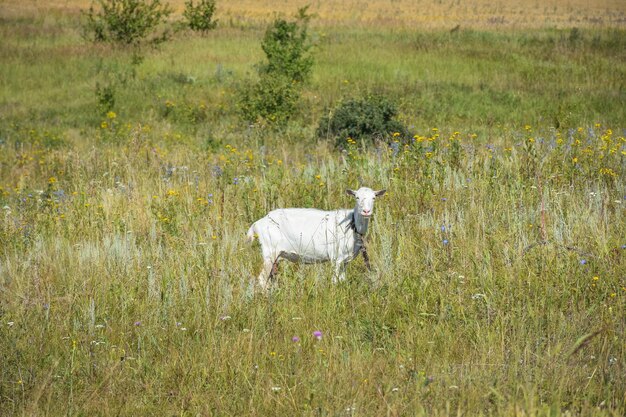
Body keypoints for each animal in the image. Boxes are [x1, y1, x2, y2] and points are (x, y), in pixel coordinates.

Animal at [245, 188, 386, 290]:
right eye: (357, 197)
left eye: (374, 198)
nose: (366, 211)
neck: (352, 224)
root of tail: (258, 223)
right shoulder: (336, 258)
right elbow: (335, 280)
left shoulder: (345, 260)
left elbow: (342, 279)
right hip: (269, 251)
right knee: (262, 278)